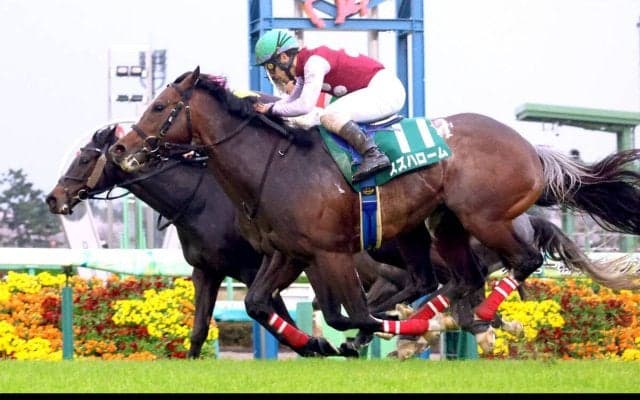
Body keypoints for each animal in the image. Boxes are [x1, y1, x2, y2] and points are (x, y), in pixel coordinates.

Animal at [108, 66, 640, 355]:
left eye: (159, 108)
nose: (121, 148)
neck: (273, 164)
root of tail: (532, 149)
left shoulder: (330, 254)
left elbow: (351, 314)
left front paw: (355, 338)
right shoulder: (289, 253)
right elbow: (264, 304)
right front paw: (319, 344)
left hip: (484, 219)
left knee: (521, 263)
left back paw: (474, 321)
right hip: (440, 227)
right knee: (459, 281)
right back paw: (455, 323)